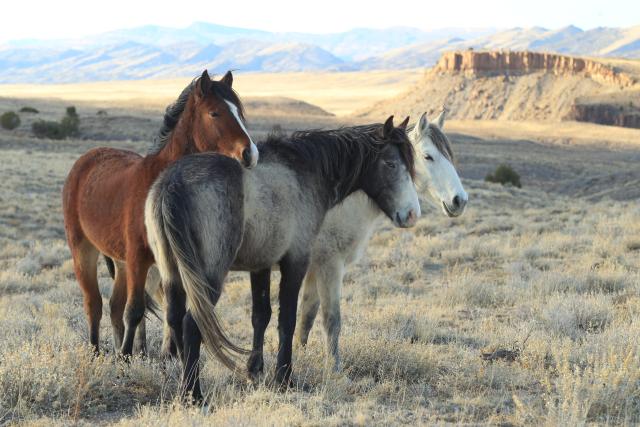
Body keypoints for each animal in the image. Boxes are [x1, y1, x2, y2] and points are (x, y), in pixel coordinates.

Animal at [62, 71, 258, 358]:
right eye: (214, 113)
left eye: (239, 112)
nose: (250, 153)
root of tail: (85, 159)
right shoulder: (139, 258)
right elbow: (135, 311)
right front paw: (127, 358)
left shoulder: (176, 260)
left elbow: (175, 314)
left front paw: (175, 356)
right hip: (84, 250)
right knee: (94, 304)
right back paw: (97, 353)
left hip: (121, 262)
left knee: (114, 307)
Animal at [145, 116, 420, 402]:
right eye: (391, 163)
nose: (411, 214)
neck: (304, 171)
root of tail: (172, 183)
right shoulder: (296, 263)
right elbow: (287, 319)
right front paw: (283, 378)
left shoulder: (261, 266)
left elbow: (261, 316)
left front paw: (255, 371)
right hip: (208, 278)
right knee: (192, 323)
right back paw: (193, 394)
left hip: (172, 273)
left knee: (174, 319)